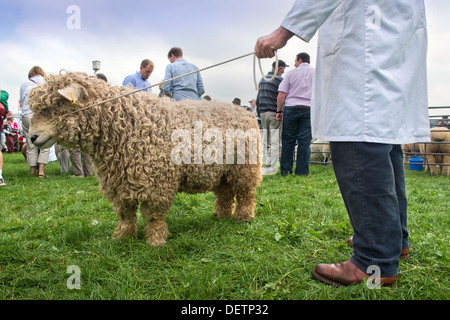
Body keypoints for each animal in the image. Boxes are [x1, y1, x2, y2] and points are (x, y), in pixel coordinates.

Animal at [29, 72, 260, 246]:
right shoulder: (118, 180)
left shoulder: (158, 181)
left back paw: (244, 217)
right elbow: (125, 213)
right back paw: (222, 215)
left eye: (56, 105)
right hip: (223, 170)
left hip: (245, 166)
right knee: (225, 193)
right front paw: (122, 236)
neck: (125, 123)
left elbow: (153, 215)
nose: (32, 137)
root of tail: (244, 112)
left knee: (246, 193)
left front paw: (155, 240)